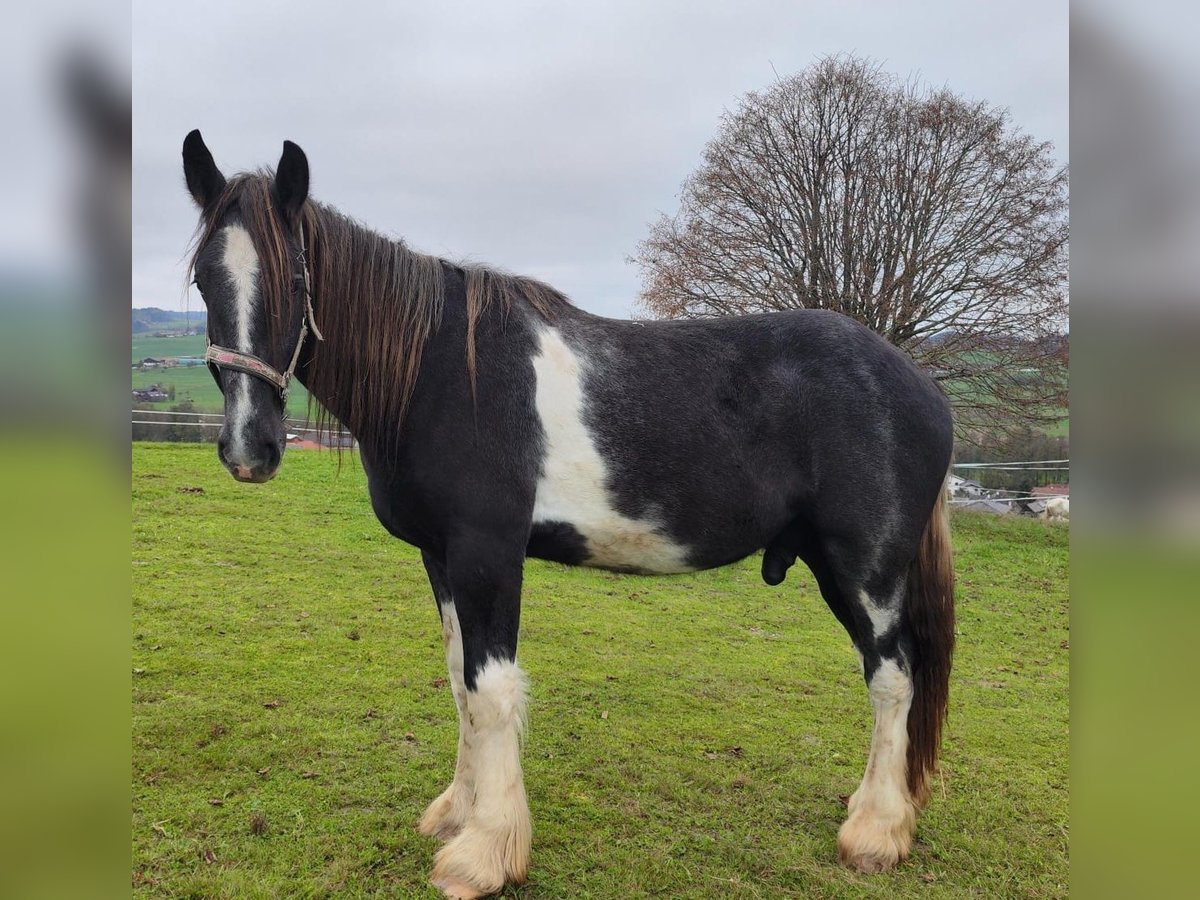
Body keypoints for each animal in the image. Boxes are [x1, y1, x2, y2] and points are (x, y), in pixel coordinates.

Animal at [182, 130, 960, 897]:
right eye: (202, 281)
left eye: (295, 280)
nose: (249, 447)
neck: (441, 373)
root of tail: (919, 385)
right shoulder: (441, 558)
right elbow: (460, 682)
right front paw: (457, 812)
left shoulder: (487, 552)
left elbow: (492, 690)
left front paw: (483, 855)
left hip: (865, 568)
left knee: (893, 677)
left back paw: (875, 832)